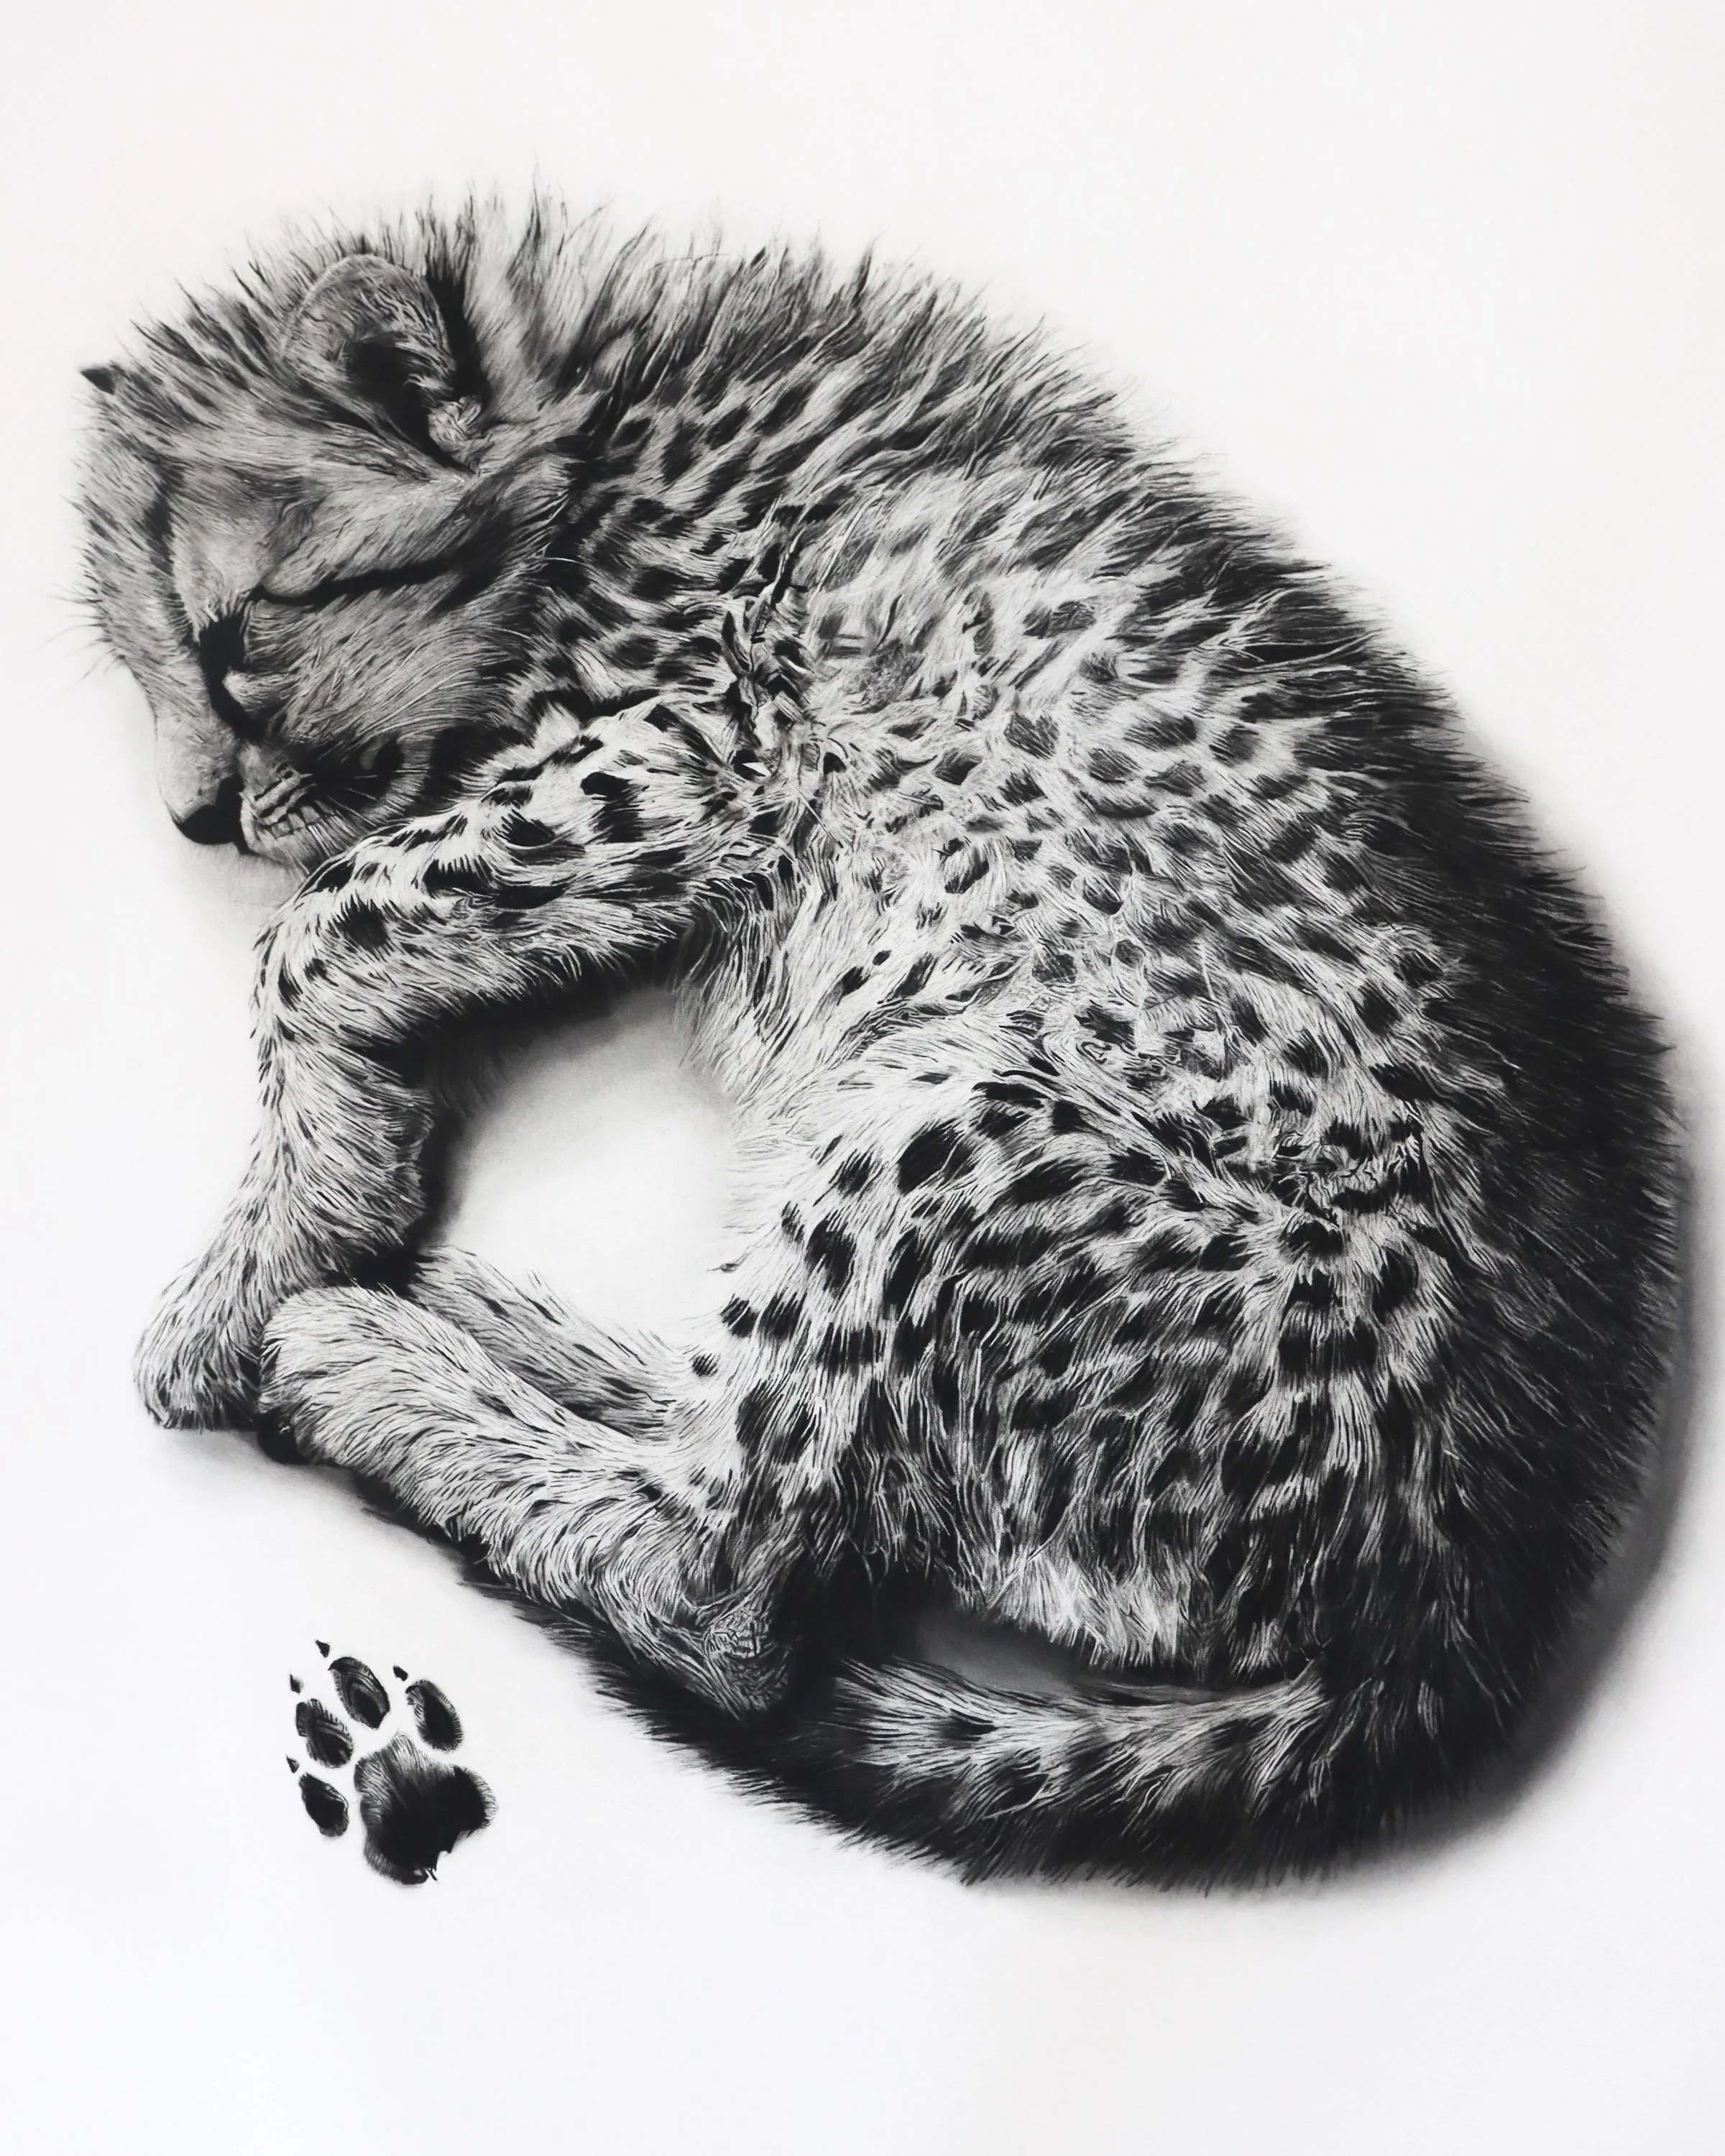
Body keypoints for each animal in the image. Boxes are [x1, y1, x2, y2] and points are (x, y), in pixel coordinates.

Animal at [78, 199, 1679, 1882]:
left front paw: (261, 1261)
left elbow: (320, 925)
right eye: (145, 668)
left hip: (956, 1119)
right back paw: (487, 1321)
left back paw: (362, 1360)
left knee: (717, 1583)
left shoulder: (695, 754)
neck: (603, 434)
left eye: (238, 636)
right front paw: (332, 1201)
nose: (190, 822)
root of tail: (1464, 1615)